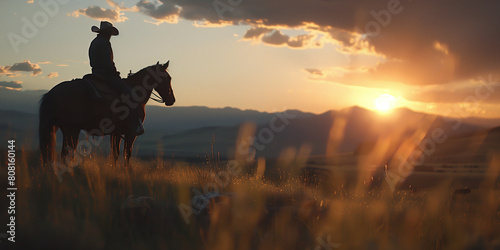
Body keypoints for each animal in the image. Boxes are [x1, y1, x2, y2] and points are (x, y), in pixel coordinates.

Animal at [39, 61, 176, 168]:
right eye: (168, 78)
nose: (172, 100)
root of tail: (52, 92)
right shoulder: (131, 132)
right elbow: (127, 154)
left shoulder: (116, 133)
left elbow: (115, 154)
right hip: (71, 130)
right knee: (66, 154)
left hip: (60, 128)